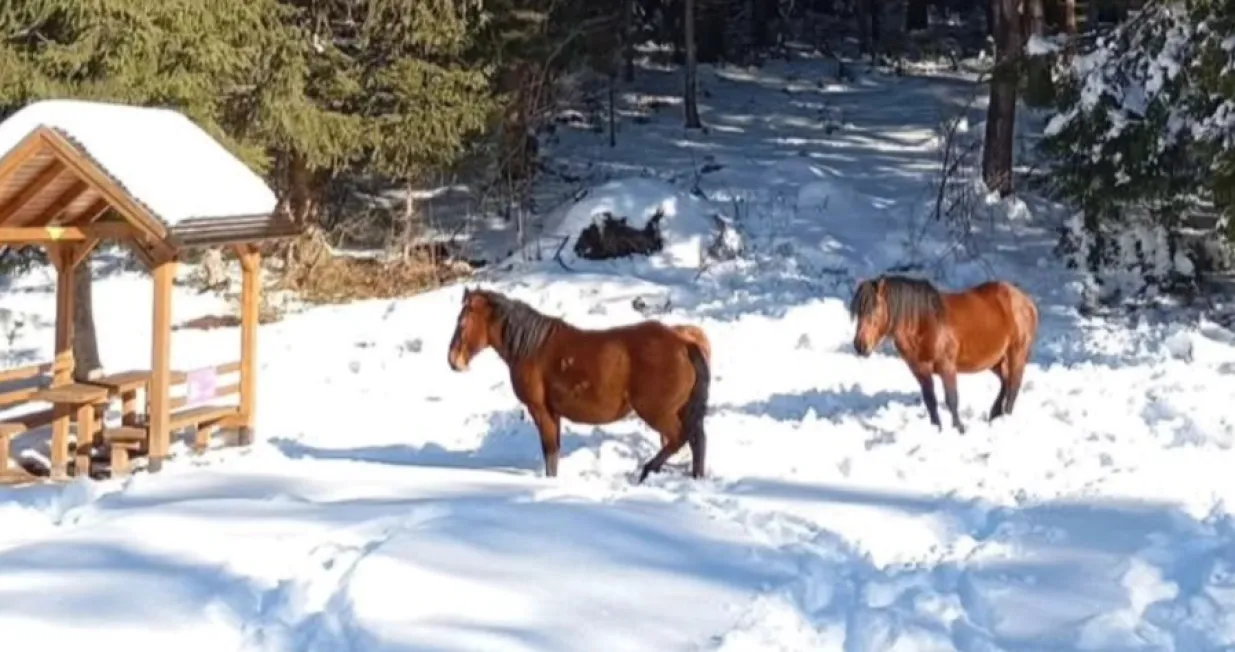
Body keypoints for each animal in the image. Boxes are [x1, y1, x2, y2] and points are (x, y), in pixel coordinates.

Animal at [449, 287, 711, 481]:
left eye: (462, 321)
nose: (453, 360)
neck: (533, 348)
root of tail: (684, 343)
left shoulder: (540, 409)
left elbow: (549, 451)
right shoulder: (553, 413)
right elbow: (553, 451)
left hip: (657, 412)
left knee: (680, 438)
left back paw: (647, 470)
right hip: (681, 409)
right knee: (697, 440)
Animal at [849, 275, 1032, 432]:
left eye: (874, 309)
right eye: (858, 311)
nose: (860, 345)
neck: (924, 323)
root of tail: (1025, 301)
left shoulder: (947, 366)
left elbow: (952, 400)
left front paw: (959, 429)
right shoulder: (920, 370)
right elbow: (930, 401)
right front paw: (936, 429)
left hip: (1017, 353)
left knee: (1013, 386)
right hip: (995, 360)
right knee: (1006, 381)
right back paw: (995, 414)